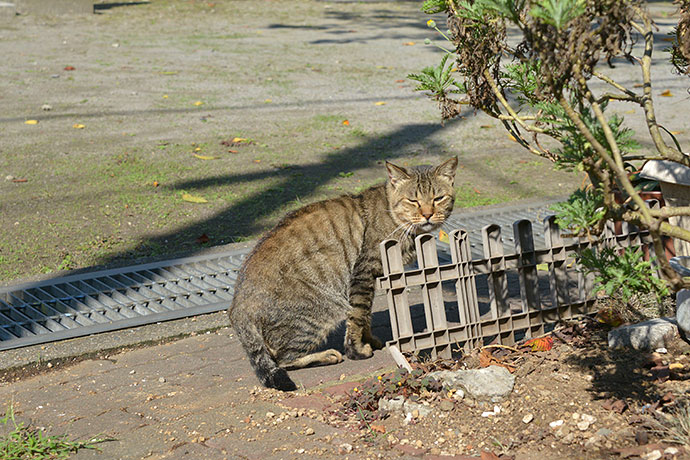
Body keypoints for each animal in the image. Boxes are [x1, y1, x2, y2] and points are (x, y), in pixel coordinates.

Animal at [228, 156, 460, 390]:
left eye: (438, 198)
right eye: (413, 200)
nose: (428, 214)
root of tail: (237, 305)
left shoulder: (370, 279)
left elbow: (366, 315)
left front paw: (370, 340)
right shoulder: (363, 273)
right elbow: (358, 315)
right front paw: (356, 350)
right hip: (322, 310)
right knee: (283, 358)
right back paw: (328, 355)